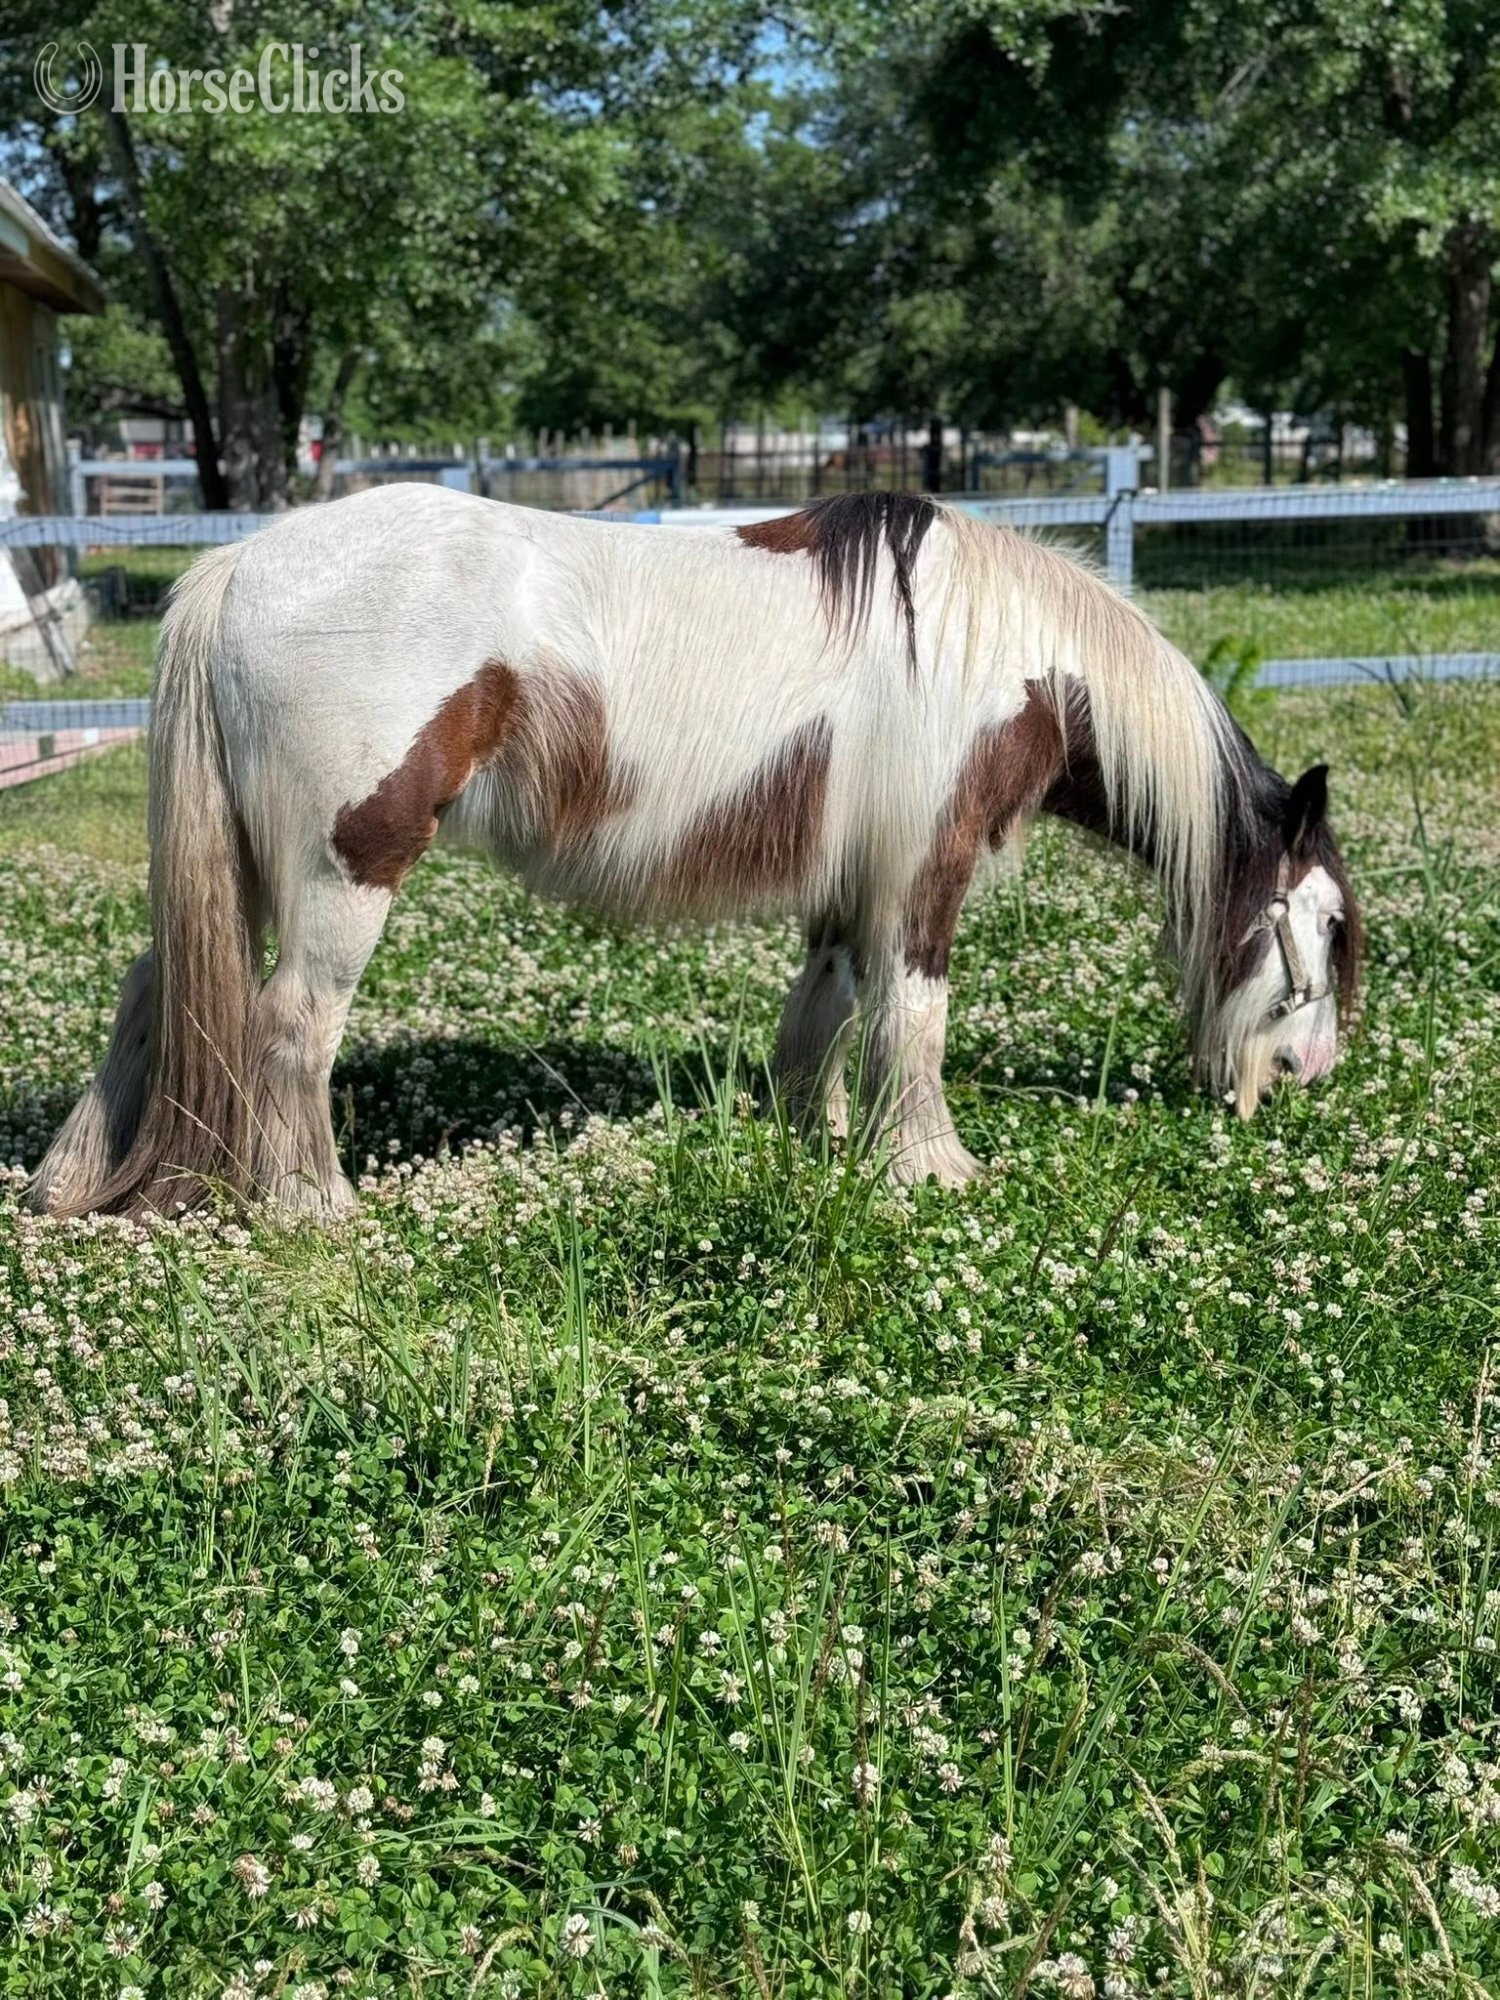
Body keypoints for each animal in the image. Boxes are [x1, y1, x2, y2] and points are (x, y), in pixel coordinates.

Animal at [30, 486, 1361, 1222]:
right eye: (1331, 926)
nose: (1310, 1077)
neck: (1002, 651)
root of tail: (235, 566)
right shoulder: (922, 874)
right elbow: (914, 1016)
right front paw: (931, 1166)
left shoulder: (850, 883)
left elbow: (826, 1009)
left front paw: (817, 1133)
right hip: (340, 868)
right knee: (291, 1025)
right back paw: (315, 1208)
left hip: (243, 866)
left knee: (157, 989)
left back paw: (69, 1180)